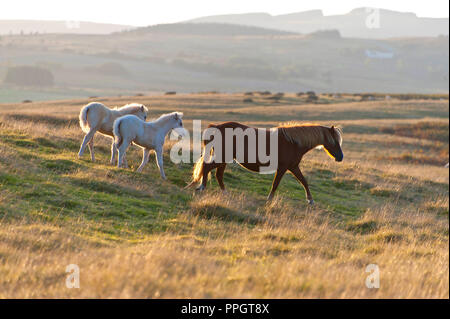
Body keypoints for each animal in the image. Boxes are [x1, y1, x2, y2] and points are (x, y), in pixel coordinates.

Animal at [188, 122, 342, 205]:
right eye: (334, 141)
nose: (340, 157)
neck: (293, 142)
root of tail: (216, 127)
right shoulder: (284, 167)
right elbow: (276, 184)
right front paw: (269, 199)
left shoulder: (293, 167)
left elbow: (304, 181)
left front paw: (310, 200)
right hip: (222, 157)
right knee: (208, 168)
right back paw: (202, 187)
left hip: (224, 159)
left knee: (218, 174)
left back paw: (225, 193)